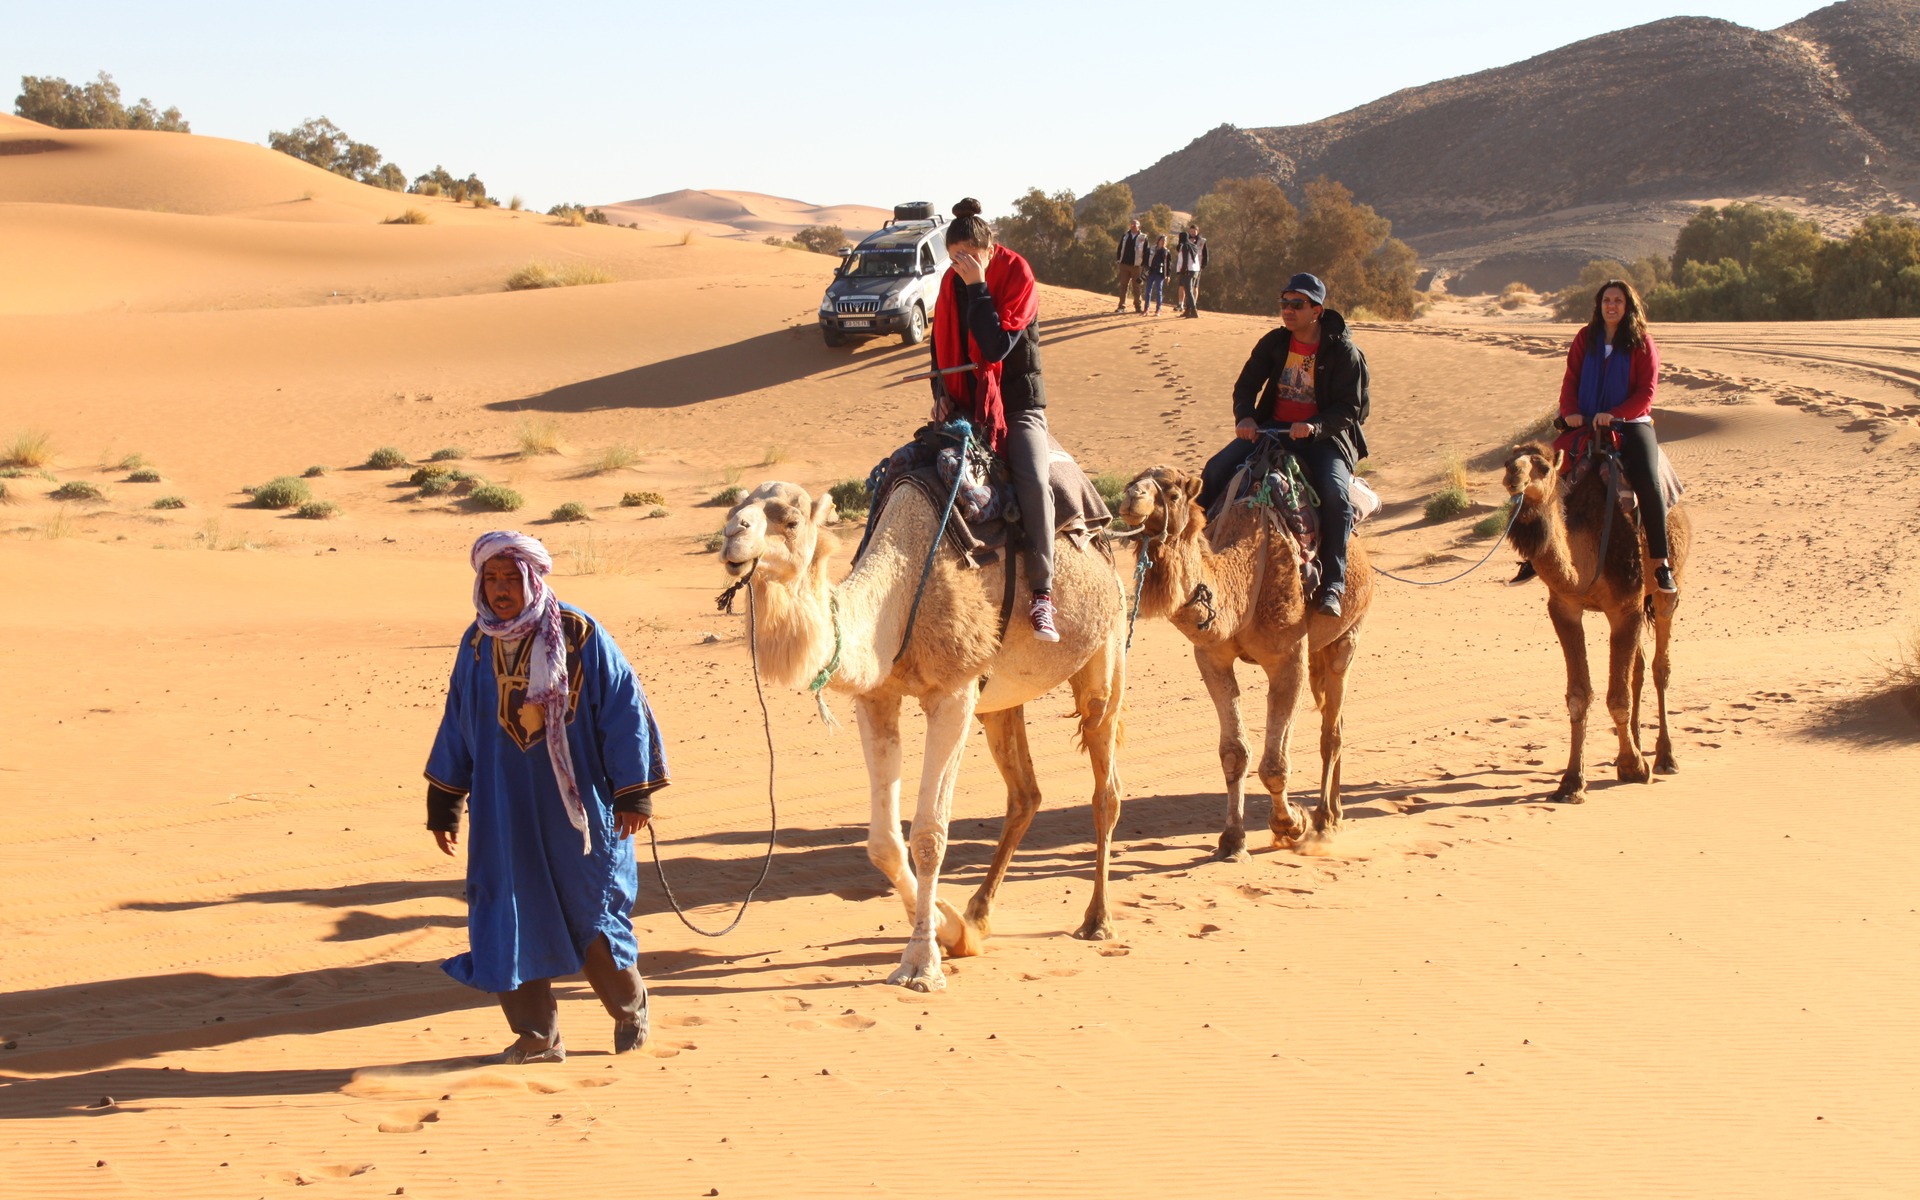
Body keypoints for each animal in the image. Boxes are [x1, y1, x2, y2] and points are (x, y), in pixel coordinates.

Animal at [725, 478, 1128, 990]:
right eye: (735, 510)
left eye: (791, 521)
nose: (732, 537)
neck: (898, 593)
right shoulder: (877, 698)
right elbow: (883, 843)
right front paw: (949, 927)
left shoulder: (953, 692)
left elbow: (929, 835)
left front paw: (922, 961)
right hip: (999, 702)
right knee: (1025, 794)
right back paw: (977, 915)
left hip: (1107, 645)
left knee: (1105, 780)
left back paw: (1097, 920)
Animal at [1113, 462, 1367, 856]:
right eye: (1132, 482)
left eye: (1173, 493)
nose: (1130, 498)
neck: (1242, 583)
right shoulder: (1212, 657)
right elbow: (1234, 752)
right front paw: (1232, 839)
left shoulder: (1288, 658)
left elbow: (1274, 764)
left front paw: (1291, 824)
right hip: (1319, 652)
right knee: (1332, 717)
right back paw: (1334, 812)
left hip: (1348, 634)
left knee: (1332, 731)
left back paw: (1326, 819)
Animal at [1497, 441, 1697, 806]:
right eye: (1507, 462)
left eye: (1543, 468)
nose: (1513, 478)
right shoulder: (1565, 608)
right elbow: (1579, 695)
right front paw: (1572, 782)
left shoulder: (1625, 605)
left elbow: (1617, 696)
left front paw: (1634, 768)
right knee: (1638, 667)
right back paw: (1630, 747)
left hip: (1668, 585)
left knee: (1660, 666)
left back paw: (1664, 758)